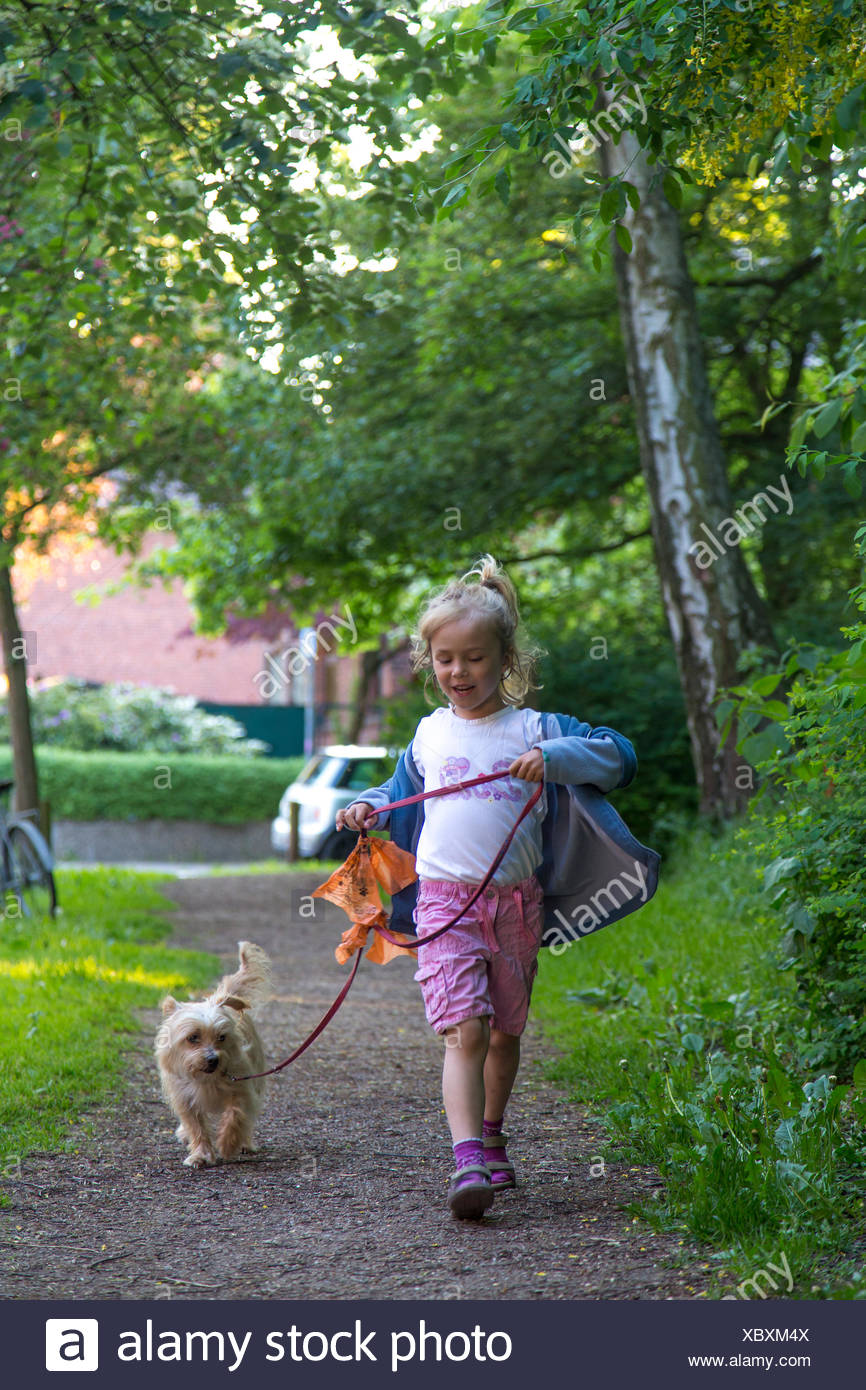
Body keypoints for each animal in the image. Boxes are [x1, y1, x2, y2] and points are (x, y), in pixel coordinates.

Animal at [154, 939, 271, 1167]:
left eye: (221, 1037)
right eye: (193, 1037)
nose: (213, 1059)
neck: (206, 1079)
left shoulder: (241, 1088)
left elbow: (236, 1115)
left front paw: (227, 1144)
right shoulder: (186, 1099)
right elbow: (196, 1128)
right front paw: (201, 1155)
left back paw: (245, 1143)